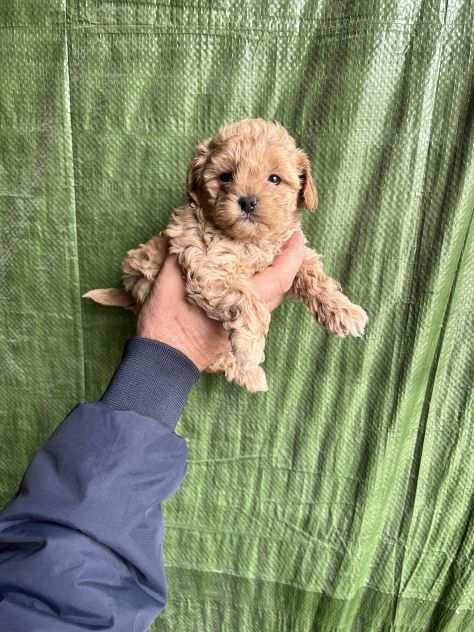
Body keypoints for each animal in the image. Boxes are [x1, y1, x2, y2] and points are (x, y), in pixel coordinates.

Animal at [83, 118, 368, 390]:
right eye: (225, 177)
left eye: (275, 179)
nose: (247, 202)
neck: (250, 241)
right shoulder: (207, 264)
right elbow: (246, 297)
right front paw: (251, 345)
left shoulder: (294, 251)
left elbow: (315, 277)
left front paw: (344, 311)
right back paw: (250, 373)